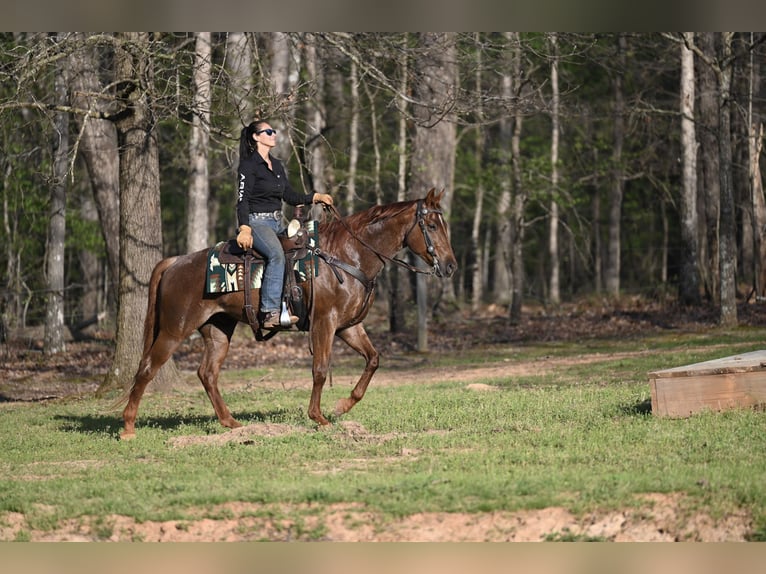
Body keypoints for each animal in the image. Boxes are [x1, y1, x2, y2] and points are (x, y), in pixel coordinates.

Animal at [119, 188, 457, 439]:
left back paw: (231, 423)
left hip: (217, 329)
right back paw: (128, 427)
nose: (451, 266)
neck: (348, 255)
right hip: (175, 329)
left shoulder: (348, 326)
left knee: (207, 373)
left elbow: (373, 359)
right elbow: (320, 369)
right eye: (431, 226)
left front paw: (343, 405)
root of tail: (176, 261)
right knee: (147, 368)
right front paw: (319, 417)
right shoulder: (324, 323)